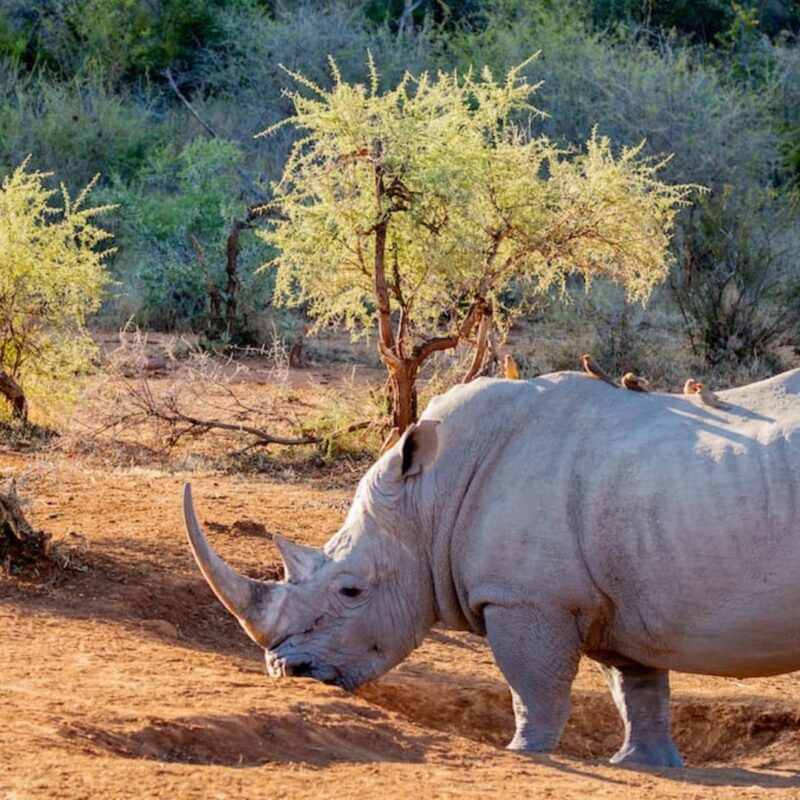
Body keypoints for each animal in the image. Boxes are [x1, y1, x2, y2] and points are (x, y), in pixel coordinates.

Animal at [183, 369, 800, 768]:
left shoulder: (524, 596)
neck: (427, 502)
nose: (288, 672)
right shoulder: (617, 596)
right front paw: (641, 765)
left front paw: (524, 753)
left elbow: (533, 681)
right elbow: (636, 685)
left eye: (351, 591)